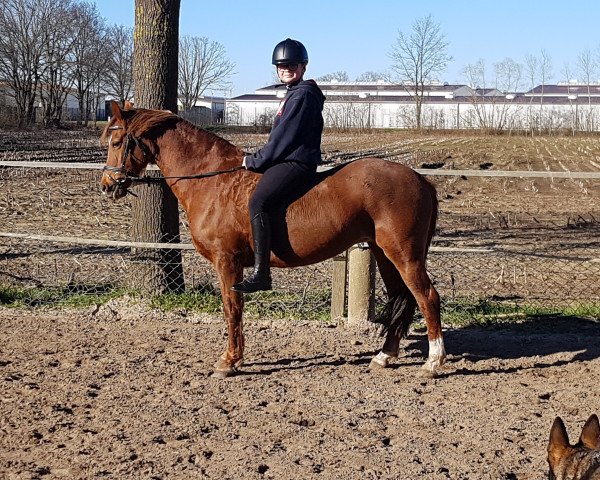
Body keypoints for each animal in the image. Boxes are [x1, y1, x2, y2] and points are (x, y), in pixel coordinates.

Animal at [99, 102, 446, 378]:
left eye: (116, 141)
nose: (106, 185)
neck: (214, 181)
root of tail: (420, 179)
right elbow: (234, 309)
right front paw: (234, 358)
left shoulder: (227, 261)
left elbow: (232, 308)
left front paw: (229, 362)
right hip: (385, 254)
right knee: (402, 296)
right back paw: (384, 356)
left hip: (404, 254)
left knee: (427, 296)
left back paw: (432, 362)